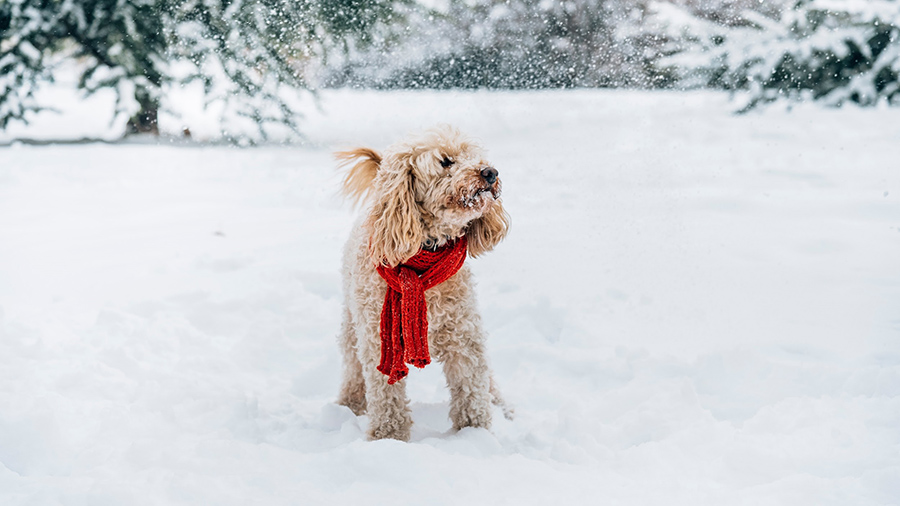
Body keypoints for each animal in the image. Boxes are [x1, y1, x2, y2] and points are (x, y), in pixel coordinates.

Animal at [334, 127, 512, 442]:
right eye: (446, 161)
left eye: (473, 156)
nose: (490, 172)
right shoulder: (380, 340)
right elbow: (386, 395)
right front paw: (388, 438)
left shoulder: (464, 335)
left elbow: (471, 388)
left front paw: (474, 433)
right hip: (352, 326)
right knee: (354, 368)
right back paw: (349, 404)